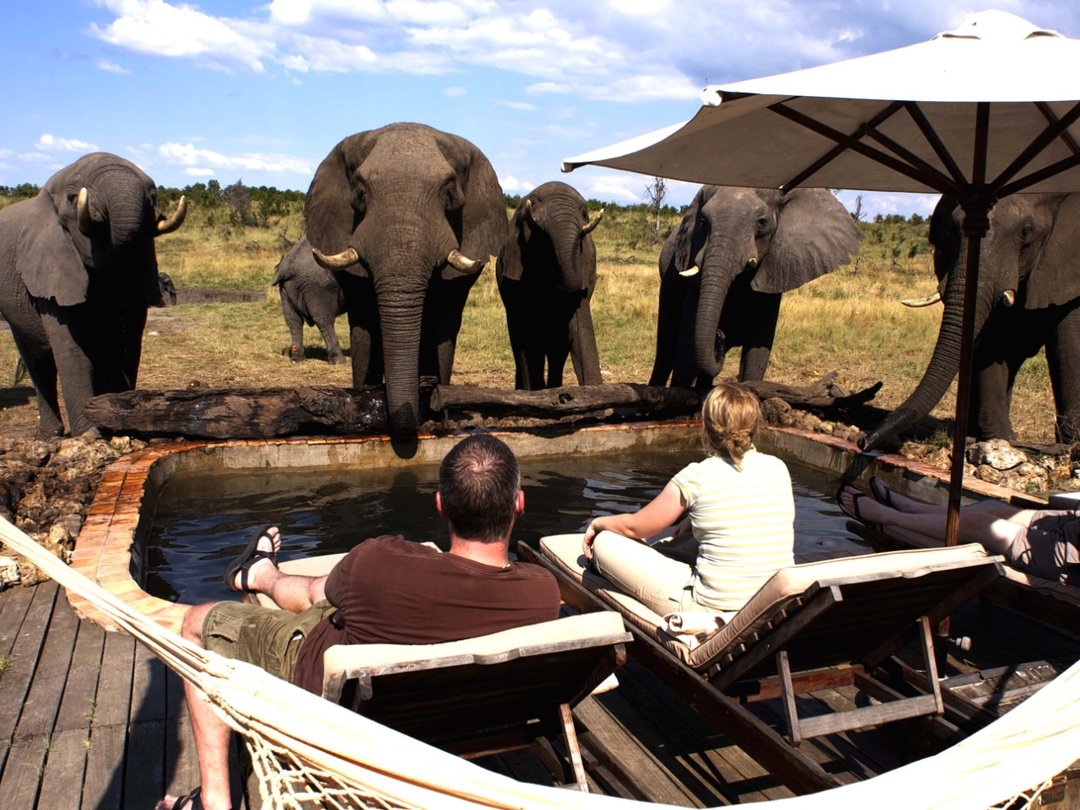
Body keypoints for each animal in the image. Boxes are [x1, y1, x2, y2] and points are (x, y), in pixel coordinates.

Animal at [0, 152, 186, 437]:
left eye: (152, 196)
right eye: (72, 197)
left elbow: (129, 342)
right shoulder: (51, 267)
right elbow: (73, 350)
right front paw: (91, 434)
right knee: (38, 361)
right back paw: (50, 436)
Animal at [649, 186, 862, 389]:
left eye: (762, 223)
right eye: (703, 222)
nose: (720, 333)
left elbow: (758, 350)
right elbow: (686, 347)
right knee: (666, 348)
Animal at [865, 193, 1080, 450]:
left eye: (1025, 232)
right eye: (952, 231)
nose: (864, 442)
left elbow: (1069, 349)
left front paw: (1071, 448)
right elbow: (995, 344)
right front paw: (1000, 440)